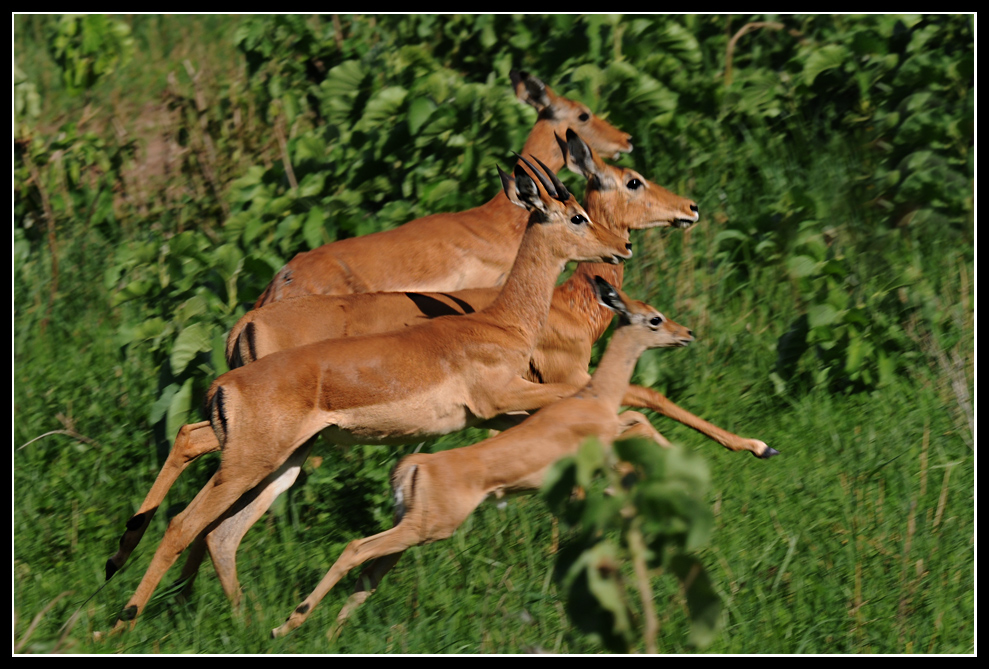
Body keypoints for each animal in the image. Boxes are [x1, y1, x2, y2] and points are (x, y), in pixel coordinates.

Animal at [266, 276, 692, 636]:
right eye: (654, 318)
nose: (686, 334)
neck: (596, 397)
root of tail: (414, 466)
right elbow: (635, 428)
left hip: (411, 528)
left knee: (370, 573)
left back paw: (321, 631)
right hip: (429, 528)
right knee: (357, 549)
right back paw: (286, 626)